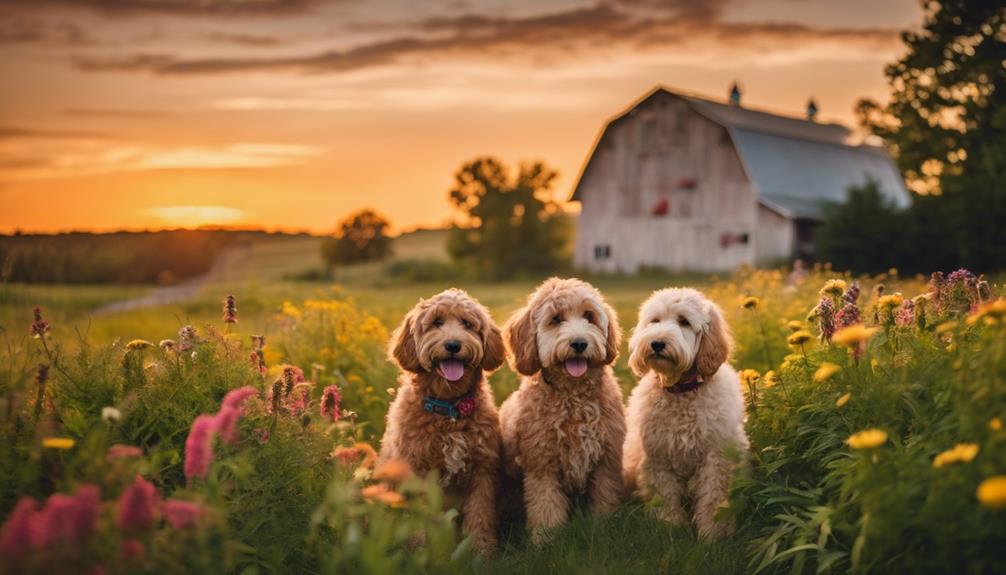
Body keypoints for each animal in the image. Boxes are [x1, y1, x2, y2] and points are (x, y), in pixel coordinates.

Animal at [378, 289, 503, 554]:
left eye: (467, 324)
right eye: (436, 322)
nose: (453, 345)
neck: (449, 410)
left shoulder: (482, 469)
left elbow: (480, 512)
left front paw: (481, 549)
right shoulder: (416, 469)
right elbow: (418, 517)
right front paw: (420, 550)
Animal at [498, 279, 623, 542]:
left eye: (589, 316)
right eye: (555, 319)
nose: (579, 343)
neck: (572, 397)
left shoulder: (606, 460)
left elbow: (605, 499)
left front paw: (605, 529)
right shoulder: (541, 464)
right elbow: (545, 506)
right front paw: (546, 540)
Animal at [619, 289, 748, 538]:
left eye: (684, 322)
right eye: (655, 320)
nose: (657, 343)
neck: (681, 392)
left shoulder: (716, 458)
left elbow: (713, 498)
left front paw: (714, 533)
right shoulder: (658, 458)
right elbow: (665, 497)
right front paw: (671, 529)